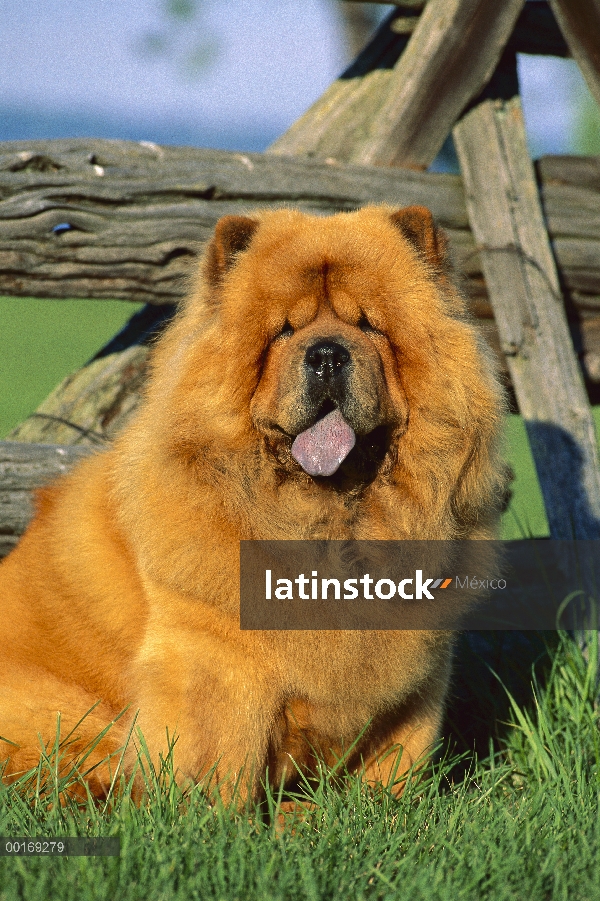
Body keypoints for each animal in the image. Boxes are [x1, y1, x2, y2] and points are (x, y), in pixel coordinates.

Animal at [0, 206, 506, 800]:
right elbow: (218, 757)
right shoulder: (217, 662)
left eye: (367, 326)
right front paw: (214, 814)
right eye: (284, 330)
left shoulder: (418, 673)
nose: (327, 353)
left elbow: (394, 762)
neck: (332, 530)